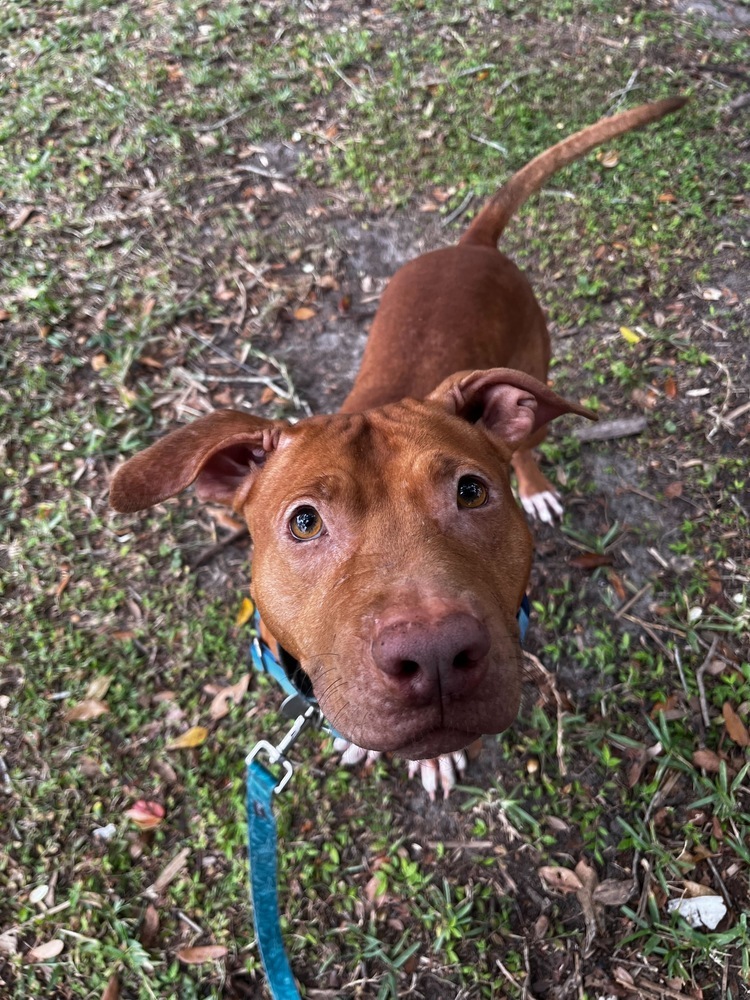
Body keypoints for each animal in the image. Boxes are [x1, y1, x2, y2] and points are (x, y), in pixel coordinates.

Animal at [110, 97, 688, 792]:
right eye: (304, 522)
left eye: (472, 492)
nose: (435, 656)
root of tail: (472, 247)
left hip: (533, 379)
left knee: (527, 440)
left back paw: (537, 486)